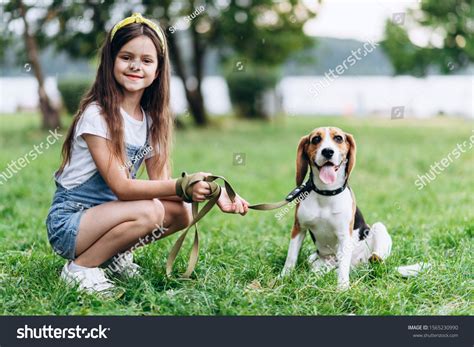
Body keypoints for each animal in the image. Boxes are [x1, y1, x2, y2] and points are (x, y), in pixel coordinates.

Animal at [282, 126, 392, 290]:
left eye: (338, 138)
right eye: (316, 139)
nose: (328, 151)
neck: (326, 193)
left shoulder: (344, 236)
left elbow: (343, 266)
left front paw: (342, 288)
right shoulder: (298, 228)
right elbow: (291, 257)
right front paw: (282, 278)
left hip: (377, 230)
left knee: (374, 259)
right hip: (315, 259)